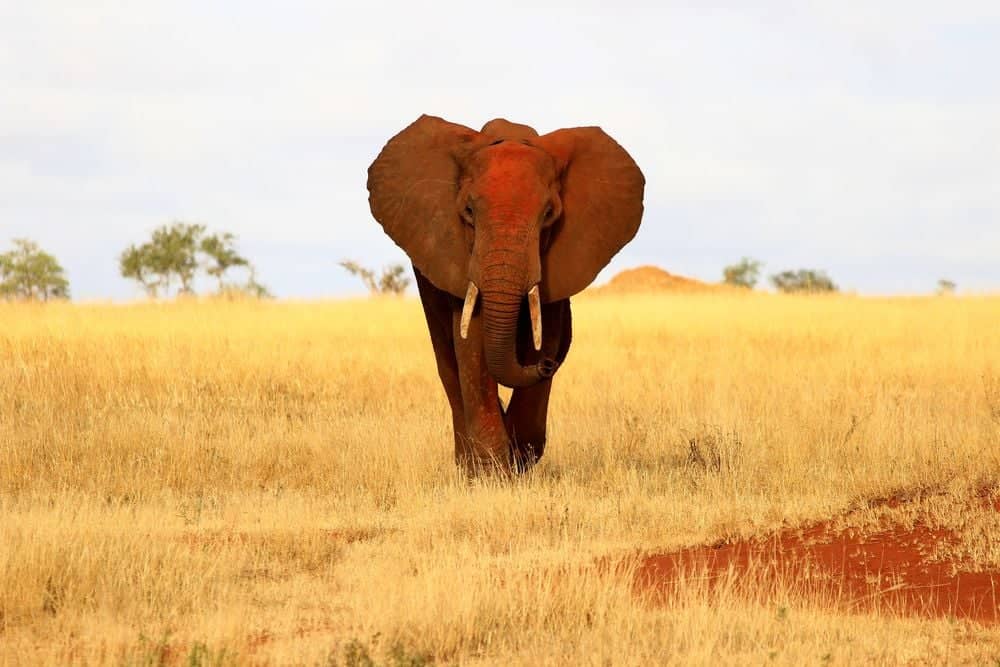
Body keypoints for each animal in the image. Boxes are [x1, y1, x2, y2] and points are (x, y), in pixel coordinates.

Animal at [367, 115, 644, 475]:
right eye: (468, 211)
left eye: (549, 214)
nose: (546, 365)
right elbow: (471, 342)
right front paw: (492, 473)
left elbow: (548, 333)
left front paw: (519, 460)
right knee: (447, 360)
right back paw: (468, 465)